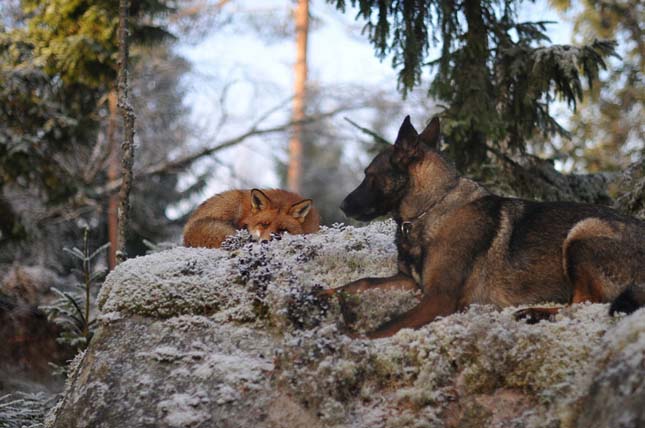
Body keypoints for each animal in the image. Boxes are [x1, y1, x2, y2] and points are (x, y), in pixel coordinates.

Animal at [322, 115, 644, 340]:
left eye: (369, 175)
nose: (343, 205)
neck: (432, 209)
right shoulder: (411, 283)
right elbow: (359, 283)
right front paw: (322, 293)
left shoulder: (438, 299)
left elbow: (388, 326)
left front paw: (349, 338)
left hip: (582, 231)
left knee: (586, 305)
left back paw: (533, 312)